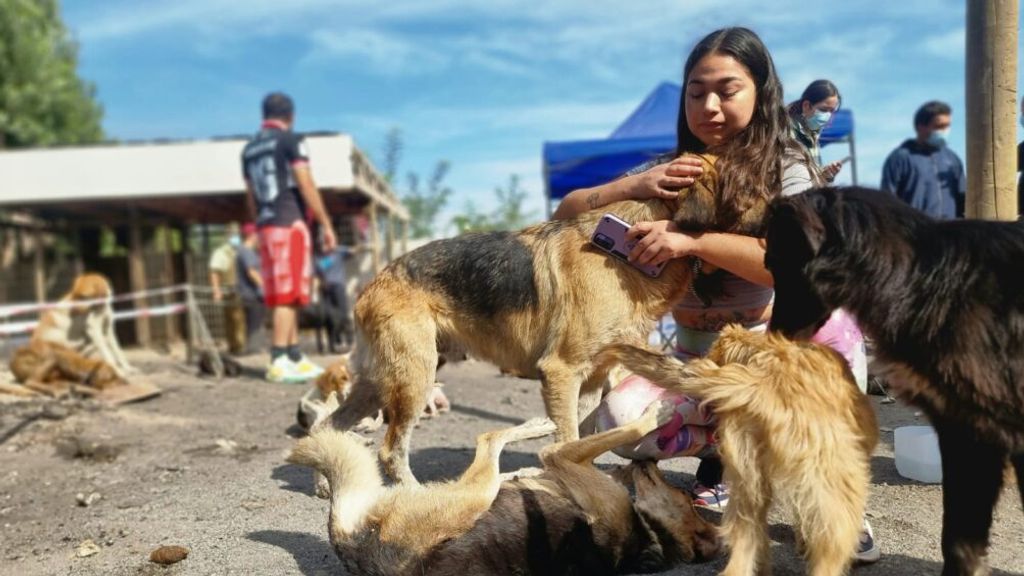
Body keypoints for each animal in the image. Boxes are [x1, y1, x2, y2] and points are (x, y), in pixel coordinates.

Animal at [288, 403, 720, 573]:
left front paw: (657, 413)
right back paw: (528, 451)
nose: (649, 463)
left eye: (684, 497)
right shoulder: (571, 466)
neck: (647, 533)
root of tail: (356, 550)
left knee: (489, 438)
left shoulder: (564, 461)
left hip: (472, 496)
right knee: (499, 450)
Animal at [327, 153, 774, 483]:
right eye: (747, 188)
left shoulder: (592, 378)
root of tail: (373, 282)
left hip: (380, 382)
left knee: (330, 424)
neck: (626, 250)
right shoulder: (561, 371)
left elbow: (581, 440)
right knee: (390, 449)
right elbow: (569, 438)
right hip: (413, 378)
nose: (789, 209)